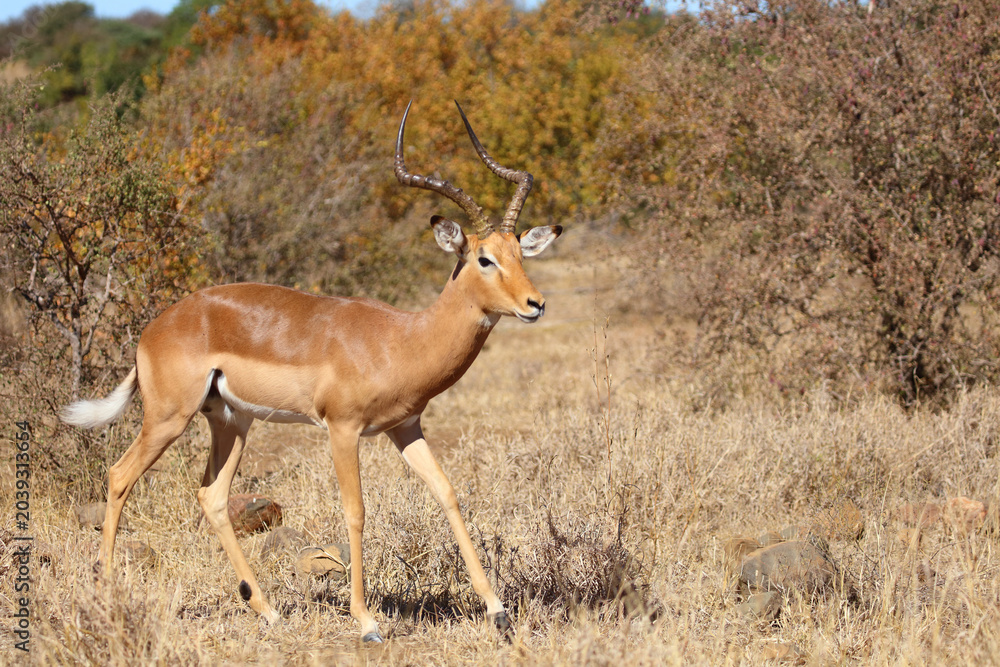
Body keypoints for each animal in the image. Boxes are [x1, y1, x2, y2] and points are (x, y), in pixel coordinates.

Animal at [60, 101, 560, 643]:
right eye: (484, 259)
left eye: (519, 253)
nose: (535, 304)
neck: (401, 339)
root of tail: (152, 330)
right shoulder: (342, 429)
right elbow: (356, 512)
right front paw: (367, 622)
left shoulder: (405, 427)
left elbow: (447, 493)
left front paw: (499, 612)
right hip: (169, 419)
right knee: (118, 475)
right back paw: (107, 592)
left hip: (232, 422)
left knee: (211, 495)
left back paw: (268, 609)